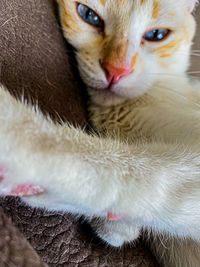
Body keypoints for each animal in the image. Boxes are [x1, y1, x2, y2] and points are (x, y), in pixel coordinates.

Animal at [0, 0, 200, 266]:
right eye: (89, 16)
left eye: (157, 35)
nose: (117, 70)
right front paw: (116, 225)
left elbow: (145, 172)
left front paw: (18, 138)